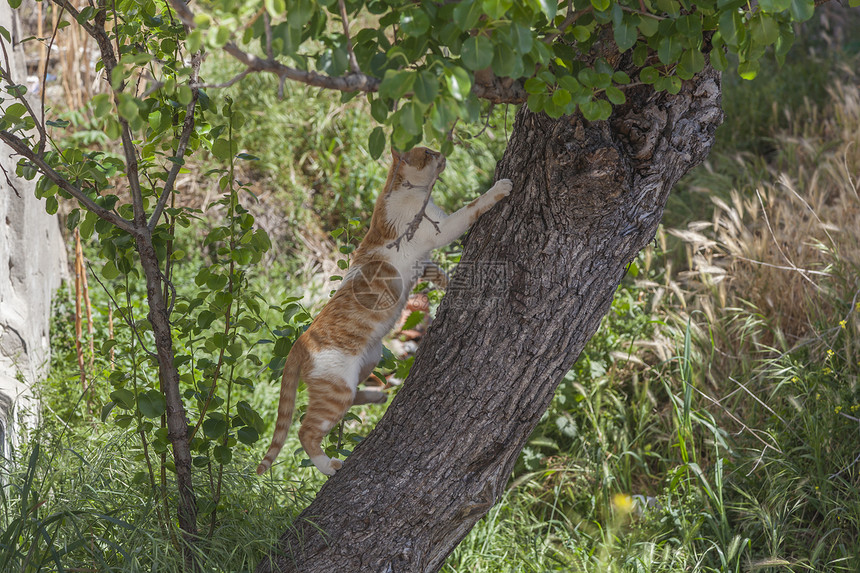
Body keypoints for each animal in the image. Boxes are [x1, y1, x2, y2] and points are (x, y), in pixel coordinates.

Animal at [255, 147, 510, 474]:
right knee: (306, 430)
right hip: (336, 388)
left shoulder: (422, 261)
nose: (442, 153)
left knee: (351, 398)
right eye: (428, 153)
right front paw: (500, 187)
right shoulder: (440, 228)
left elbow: (433, 270)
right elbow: (473, 207)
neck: (398, 189)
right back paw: (328, 465)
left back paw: (377, 396)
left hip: (370, 359)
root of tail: (300, 340)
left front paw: (446, 281)